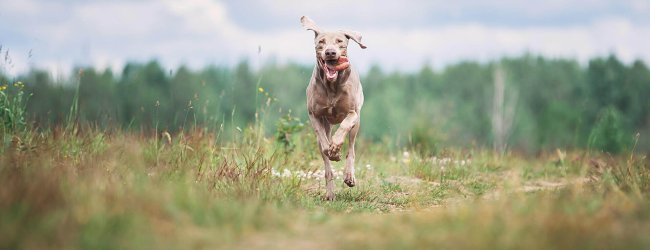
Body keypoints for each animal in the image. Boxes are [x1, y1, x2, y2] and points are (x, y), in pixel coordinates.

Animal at [298, 16, 364, 201]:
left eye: (340, 41)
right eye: (321, 42)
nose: (330, 53)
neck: (332, 86)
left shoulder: (352, 113)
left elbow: (344, 126)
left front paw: (336, 146)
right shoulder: (314, 115)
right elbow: (323, 141)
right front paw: (333, 151)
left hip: (357, 124)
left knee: (351, 148)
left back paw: (349, 176)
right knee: (326, 162)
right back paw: (330, 192)